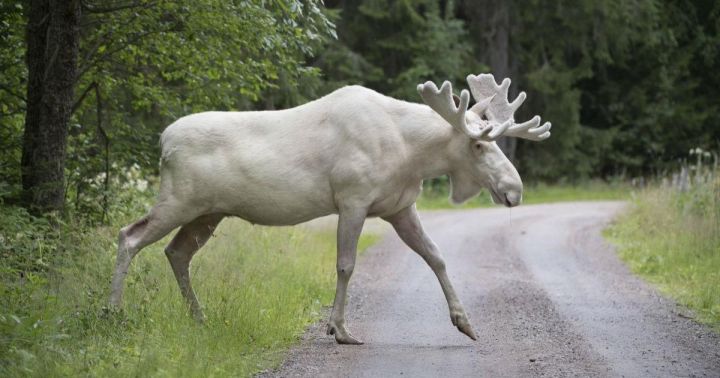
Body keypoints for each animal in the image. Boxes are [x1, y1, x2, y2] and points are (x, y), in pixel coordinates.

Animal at [109, 73, 552, 346]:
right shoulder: (352, 199)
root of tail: (163, 141)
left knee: (176, 252)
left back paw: (199, 318)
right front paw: (339, 329)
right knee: (129, 236)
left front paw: (465, 322)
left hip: (208, 212)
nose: (514, 190)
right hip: (179, 200)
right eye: (478, 144)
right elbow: (345, 265)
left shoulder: (399, 207)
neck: (411, 154)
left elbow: (437, 257)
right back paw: (113, 312)